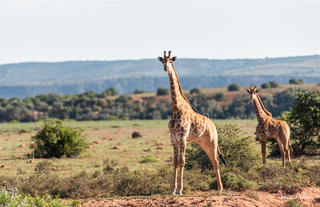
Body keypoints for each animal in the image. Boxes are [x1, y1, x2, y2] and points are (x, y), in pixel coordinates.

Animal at [157, 51, 222, 195]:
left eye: (171, 61)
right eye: (162, 60)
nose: (165, 68)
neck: (176, 109)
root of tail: (213, 125)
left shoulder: (183, 137)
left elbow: (182, 161)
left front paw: (180, 190)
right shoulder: (173, 138)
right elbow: (175, 161)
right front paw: (172, 189)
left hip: (212, 141)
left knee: (216, 161)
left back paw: (220, 189)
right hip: (203, 143)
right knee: (213, 160)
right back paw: (219, 188)